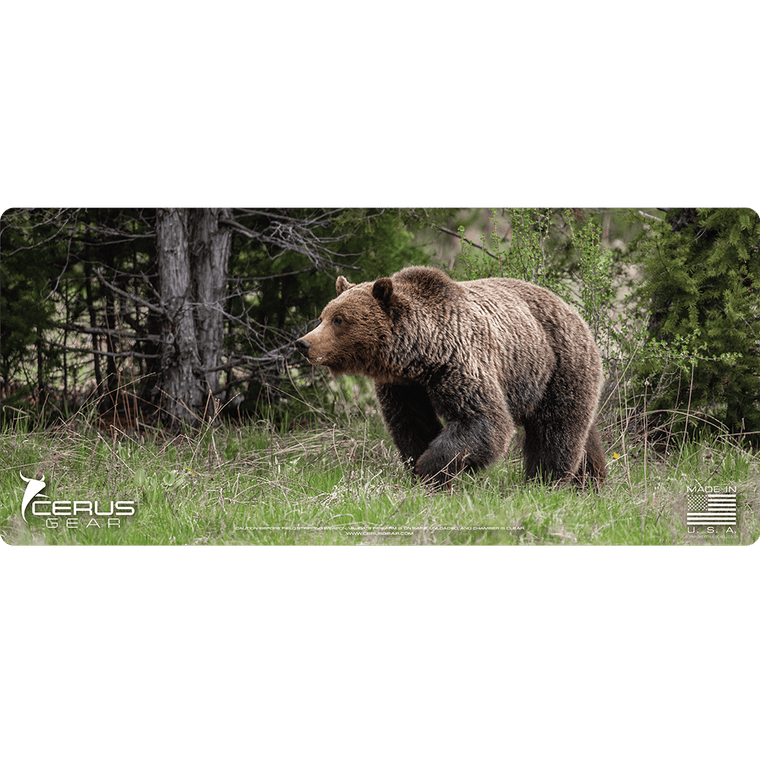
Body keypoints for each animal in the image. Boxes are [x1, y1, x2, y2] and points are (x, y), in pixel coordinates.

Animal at [295, 266, 606, 489]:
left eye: (339, 320)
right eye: (323, 316)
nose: (304, 343)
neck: (420, 355)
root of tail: (572, 309)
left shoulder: (459, 363)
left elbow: (482, 420)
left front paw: (430, 468)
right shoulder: (403, 386)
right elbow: (411, 423)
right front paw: (420, 467)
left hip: (556, 365)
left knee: (556, 429)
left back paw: (546, 480)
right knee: (585, 434)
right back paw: (591, 481)